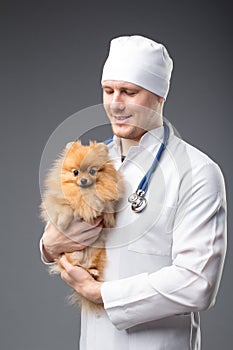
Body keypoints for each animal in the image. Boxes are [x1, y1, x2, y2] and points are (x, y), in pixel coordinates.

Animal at [40, 139, 124, 308]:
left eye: (92, 171)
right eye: (75, 172)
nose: (84, 180)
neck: (85, 193)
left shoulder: (106, 198)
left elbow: (106, 205)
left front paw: (107, 216)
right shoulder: (56, 199)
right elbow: (65, 207)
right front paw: (63, 222)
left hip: (96, 253)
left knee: (88, 268)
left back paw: (92, 272)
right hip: (73, 255)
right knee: (76, 266)